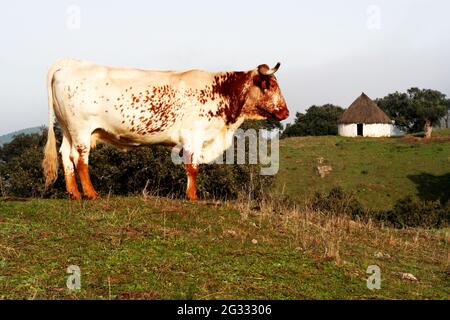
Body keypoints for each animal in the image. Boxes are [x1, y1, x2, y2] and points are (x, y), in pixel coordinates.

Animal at [42, 59, 288, 200]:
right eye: (271, 85)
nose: (285, 112)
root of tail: (70, 63)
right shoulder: (193, 135)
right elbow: (193, 167)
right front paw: (192, 196)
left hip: (68, 129)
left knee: (66, 155)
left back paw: (74, 193)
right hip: (81, 129)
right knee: (80, 159)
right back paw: (91, 194)